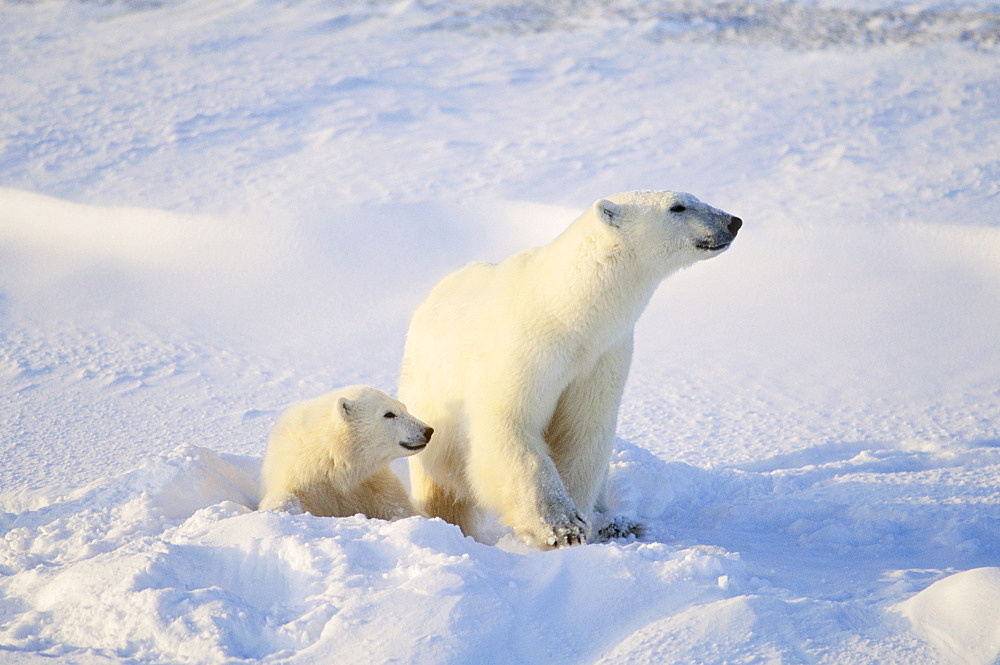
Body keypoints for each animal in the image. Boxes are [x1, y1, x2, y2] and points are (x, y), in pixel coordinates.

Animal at [256, 384, 432, 520]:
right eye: (389, 414)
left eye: (404, 407)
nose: (428, 430)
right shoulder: (301, 478)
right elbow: (286, 497)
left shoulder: (373, 483)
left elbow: (400, 507)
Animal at [400, 189, 744, 548]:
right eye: (677, 207)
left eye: (696, 197)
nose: (733, 222)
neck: (565, 312)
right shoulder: (523, 349)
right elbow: (510, 426)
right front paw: (560, 527)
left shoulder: (603, 355)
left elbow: (582, 432)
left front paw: (582, 521)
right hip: (430, 391)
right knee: (440, 478)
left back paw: (617, 523)